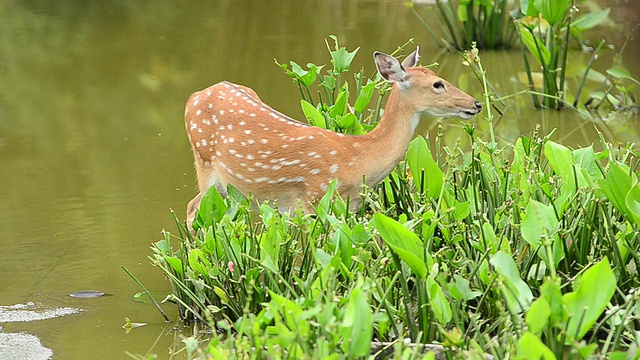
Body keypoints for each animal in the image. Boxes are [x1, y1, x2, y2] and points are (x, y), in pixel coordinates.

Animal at [184, 47, 480, 229]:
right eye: (438, 84)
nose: (475, 103)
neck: (358, 159)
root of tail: (193, 96)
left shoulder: (351, 208)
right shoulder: (315, 199)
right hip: (205, 163)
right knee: (191, 207)